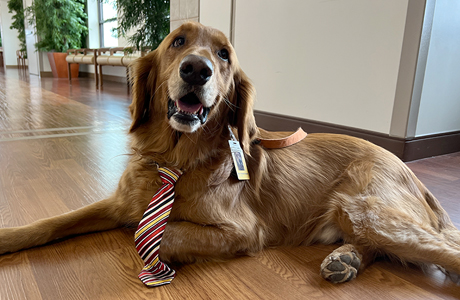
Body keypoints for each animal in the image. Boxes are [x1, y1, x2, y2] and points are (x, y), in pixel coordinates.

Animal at [0, 21, 460, 284]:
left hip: (369, 211)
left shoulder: (243, 230)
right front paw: (9, 236)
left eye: (224, 55)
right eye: (178, 42)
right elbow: (54, 221)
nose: (196, 69)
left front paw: (156, 241)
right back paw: (344, 258)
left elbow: (158, 234)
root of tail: (405, 166)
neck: (178, 160)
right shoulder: (119, 202)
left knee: (442, 251)